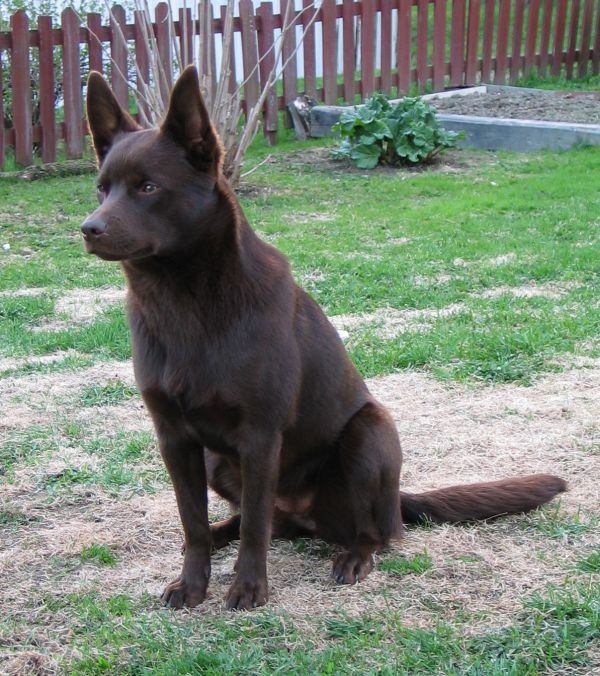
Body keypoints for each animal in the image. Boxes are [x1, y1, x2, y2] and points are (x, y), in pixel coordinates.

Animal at [82, 68, 564, 612]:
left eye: (147, 186)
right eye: (101, 189)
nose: (88, 229)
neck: (185, 302)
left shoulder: (260, 435)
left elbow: (254, 532)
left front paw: (249, 588)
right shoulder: (175, 438)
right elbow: (193, 525)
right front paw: (192, 585)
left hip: (368, 434)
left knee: (372, 532)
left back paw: (354, 556)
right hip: (215, 461)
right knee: (259, 522)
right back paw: (228, 529)